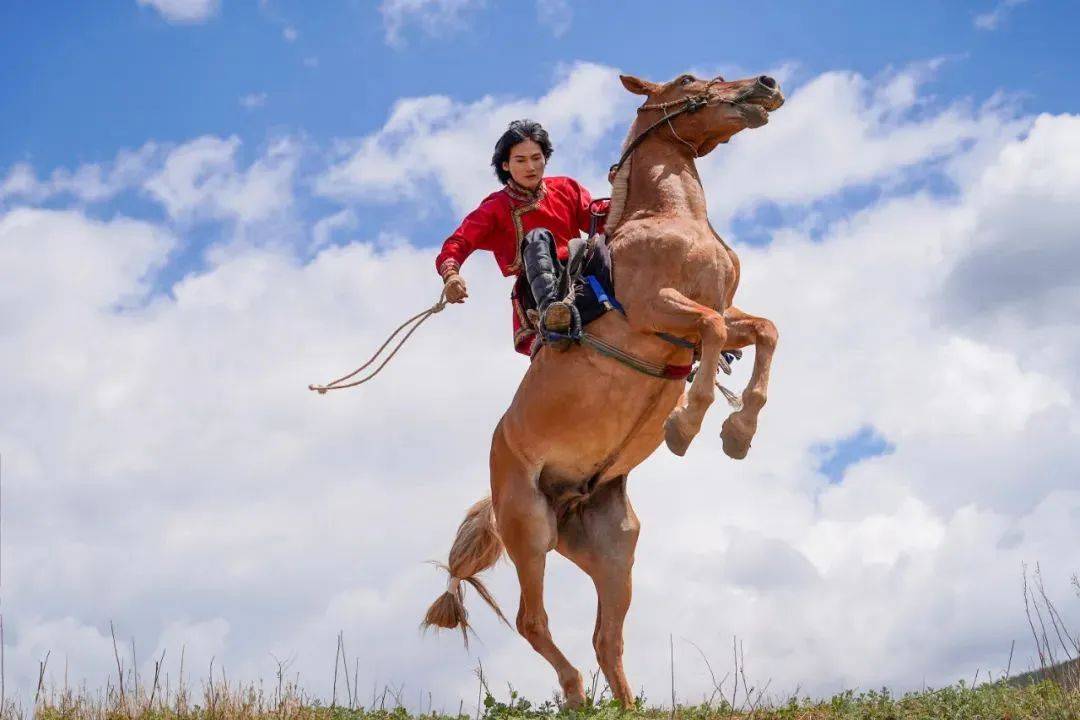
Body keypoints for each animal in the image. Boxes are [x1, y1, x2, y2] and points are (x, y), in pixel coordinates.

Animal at [421, 70, 786, 708]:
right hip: (529, 530)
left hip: (615, 549)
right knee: (534, 621)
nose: (764, 84)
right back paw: (574, 694)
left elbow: (762, 329)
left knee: (605, 637)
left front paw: (738, 433)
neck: (672, 218)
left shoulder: (717, 310)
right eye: (689, 80)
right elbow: (715, 330)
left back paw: (624, 704)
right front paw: (685, 425)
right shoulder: (660, 311)